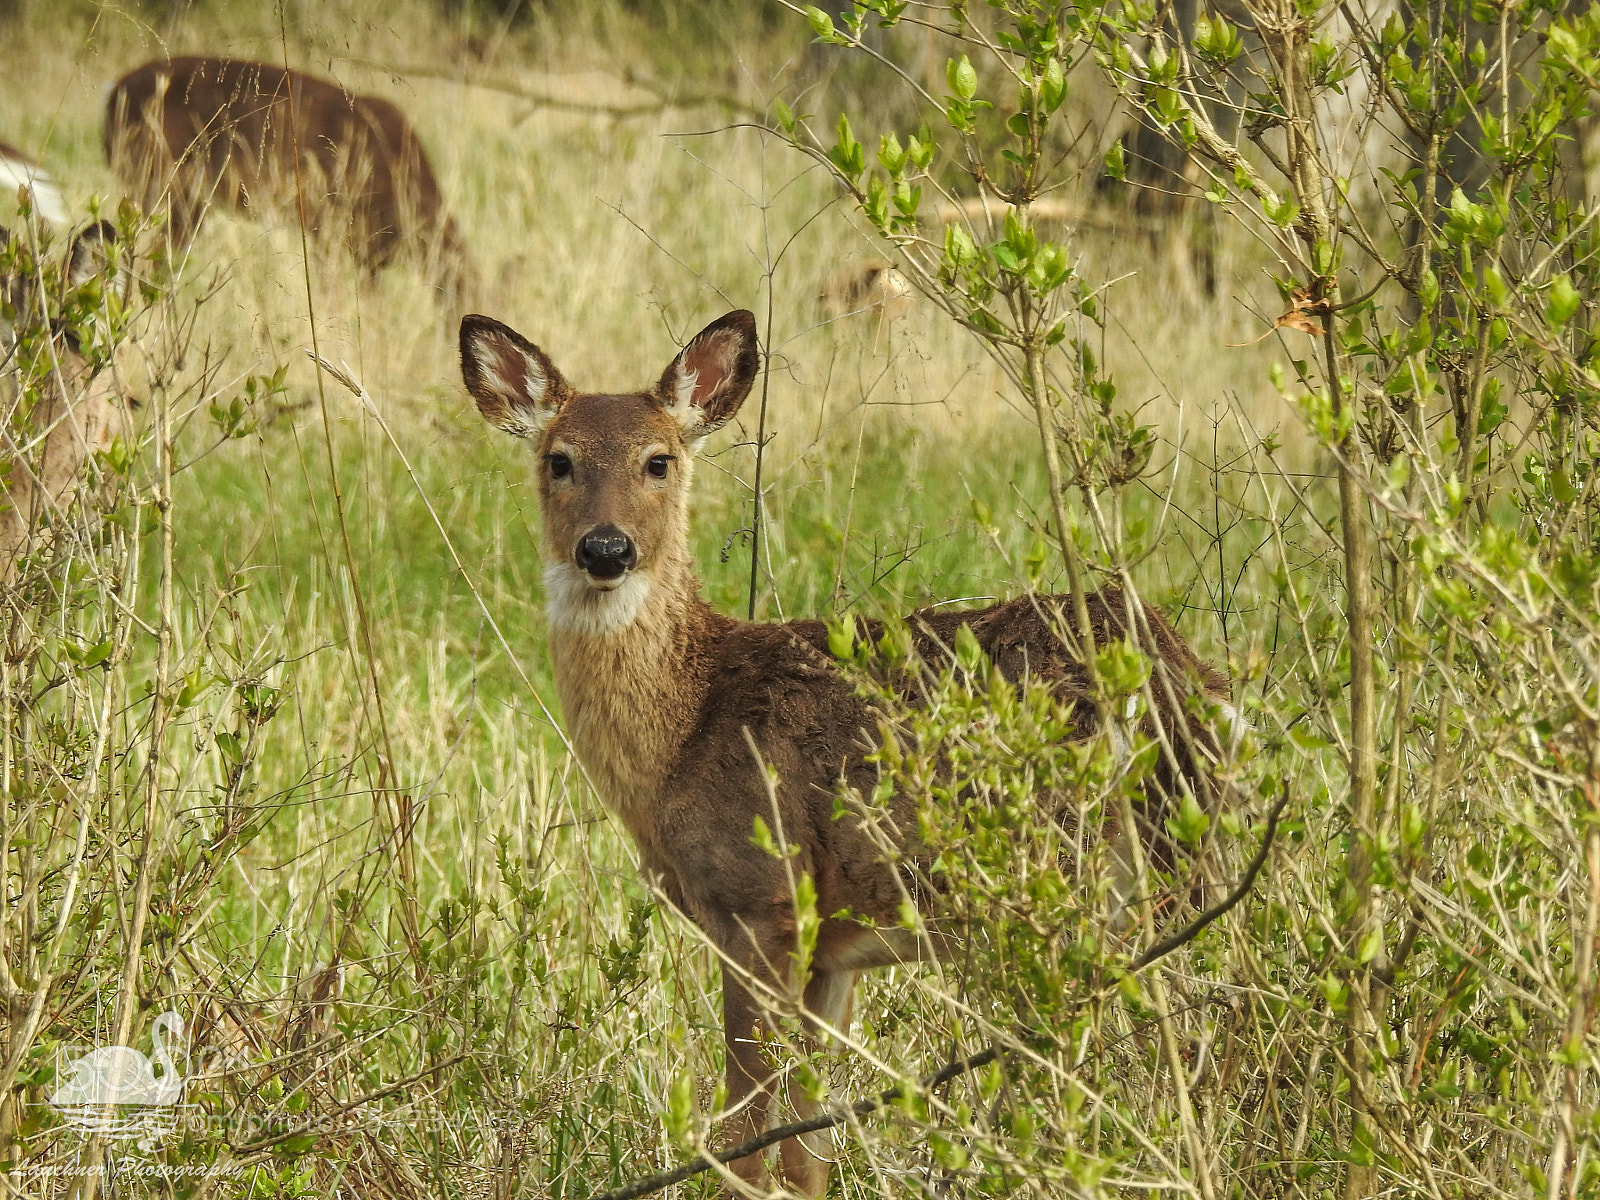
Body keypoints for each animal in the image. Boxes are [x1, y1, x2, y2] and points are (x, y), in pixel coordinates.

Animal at [457, 309, 1228, 1195]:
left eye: (659, 460)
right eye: (559, 460)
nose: (606, 549)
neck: (687, 725)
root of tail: (1185, 676)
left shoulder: (761, 897)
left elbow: (745, 1131)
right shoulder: (834, 951)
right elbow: (806, 1145)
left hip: (1088, 869)